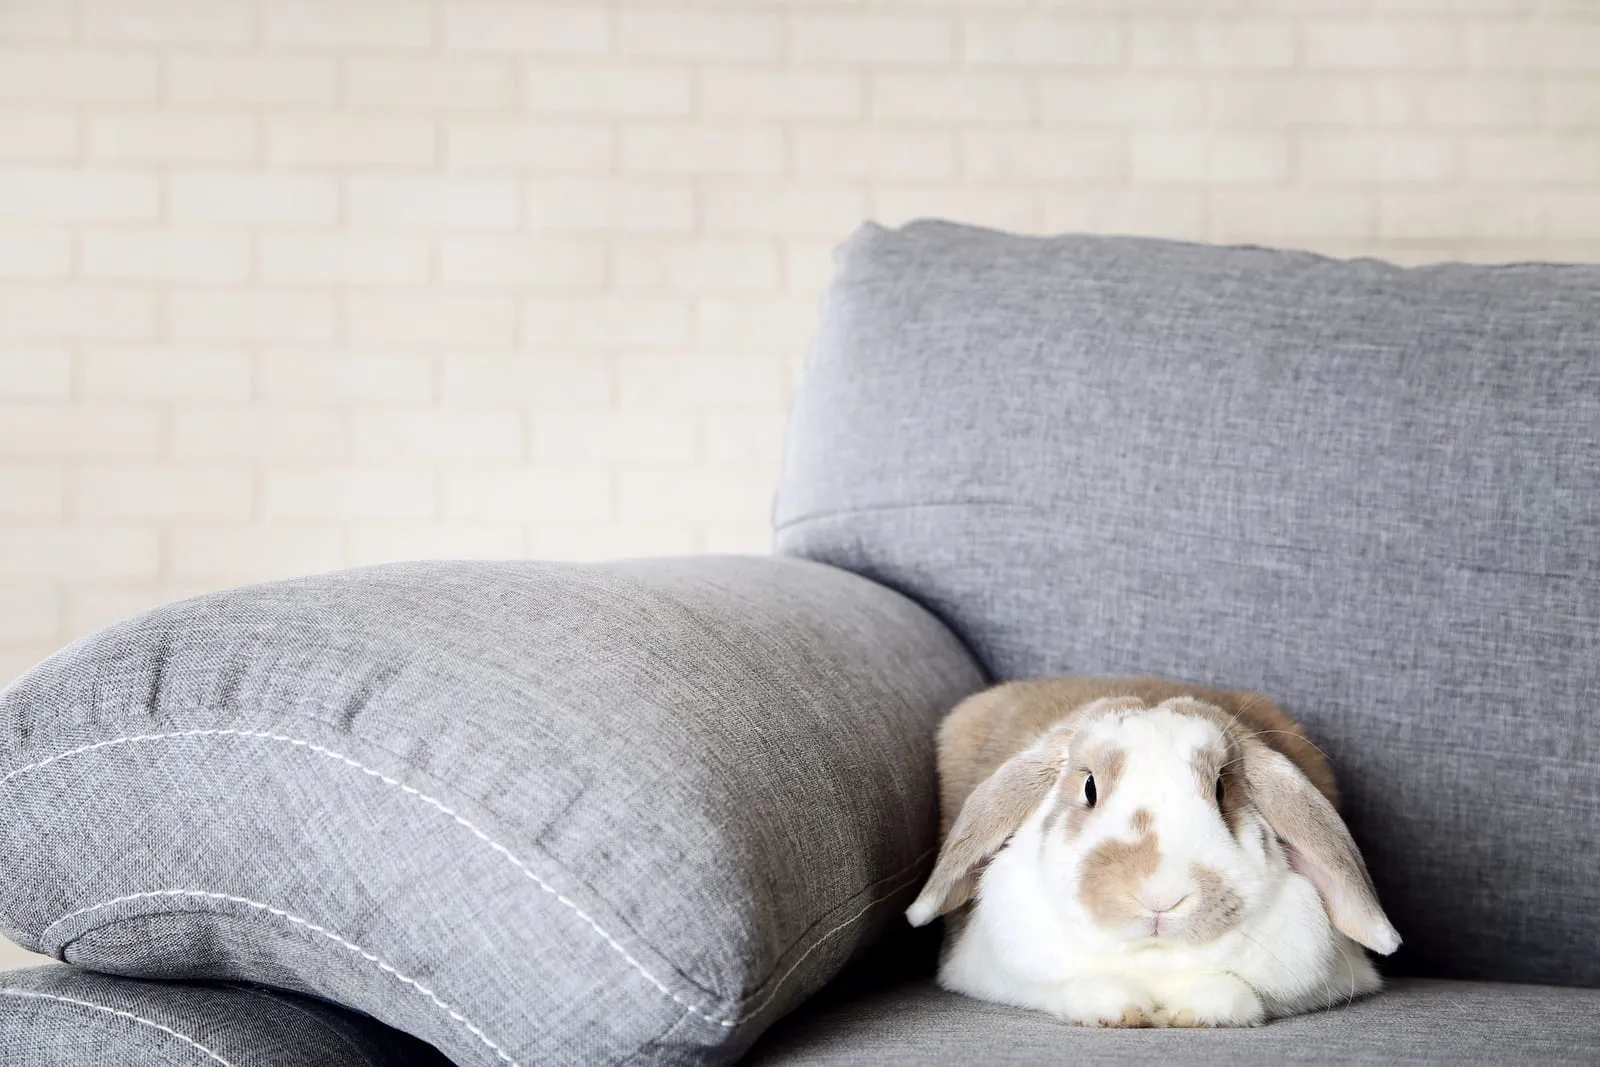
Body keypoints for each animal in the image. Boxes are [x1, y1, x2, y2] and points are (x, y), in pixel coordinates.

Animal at [905, 677, 1400, 1028]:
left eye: (1222, 789)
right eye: (1089, 787)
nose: (1159, 896)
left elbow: (1240, 992)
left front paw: (1195, 1012)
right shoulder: (994, 972)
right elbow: (1074, 986)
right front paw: (1118, 1009)